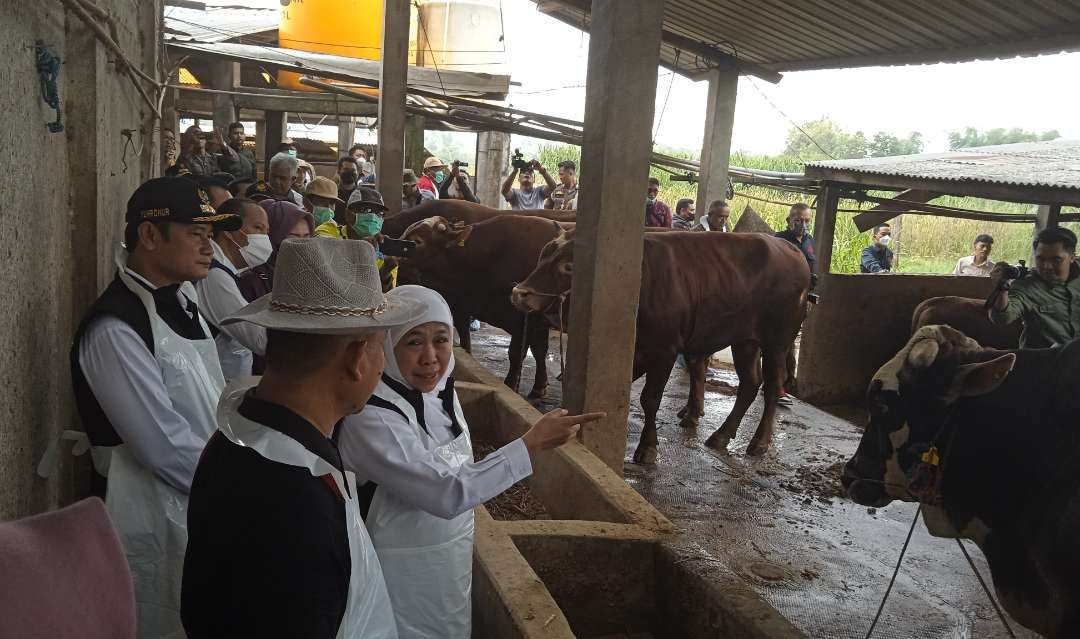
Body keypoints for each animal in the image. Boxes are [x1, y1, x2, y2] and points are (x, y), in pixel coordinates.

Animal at [399, 216, 565, 399]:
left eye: (416, 241)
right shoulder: (463, 308)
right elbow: (539, 351)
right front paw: (539, 386)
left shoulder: (523, 321)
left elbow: (516, 354)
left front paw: (510, 385)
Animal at [514, 226, 812, 461]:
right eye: (543, 254)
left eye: (568, 266)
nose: (519, 292)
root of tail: (791, 251)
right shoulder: (636, 352)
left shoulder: (664, 350)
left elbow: (650, 398)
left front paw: (648, 447)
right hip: (745, 341)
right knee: (750, 384)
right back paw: (721, 435)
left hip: (777, 342)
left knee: (771, 387)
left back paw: (759, 442)